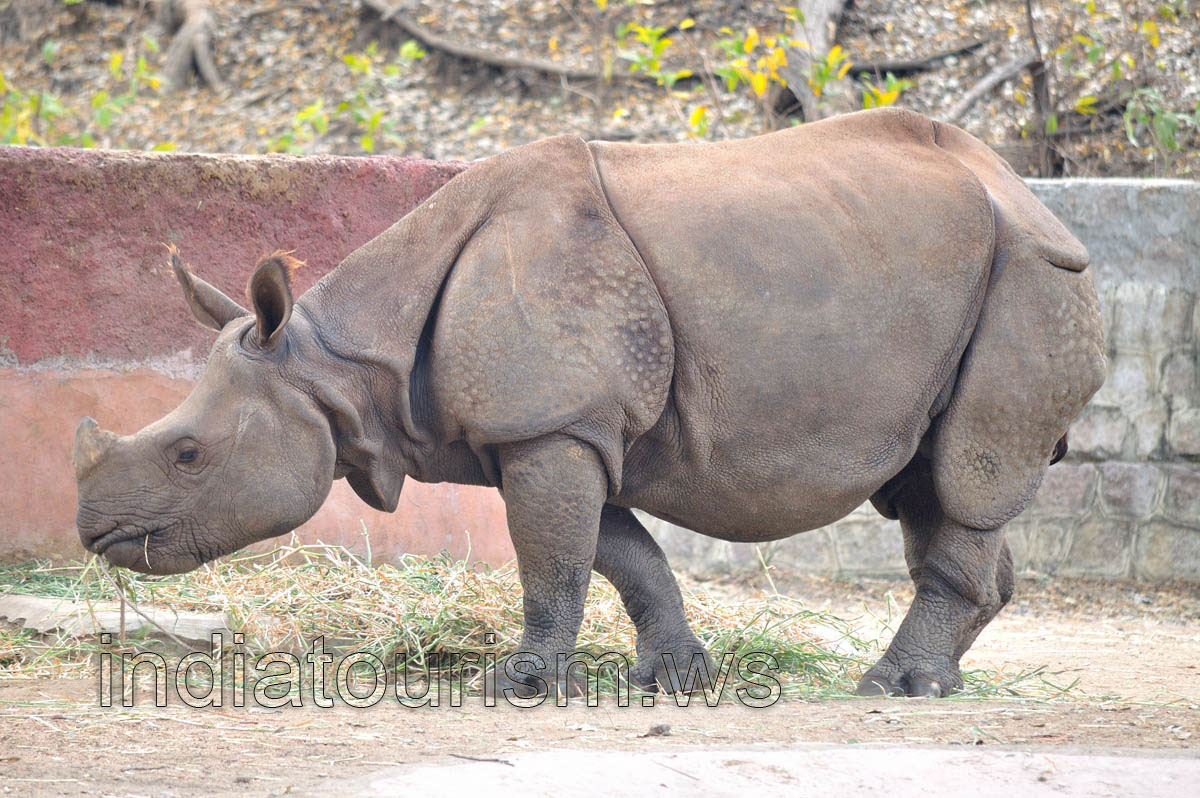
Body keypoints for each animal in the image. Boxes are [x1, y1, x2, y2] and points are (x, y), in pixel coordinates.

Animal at [74, 108, 1105, 698]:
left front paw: (519, 686)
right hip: (964, 275)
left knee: (971, 470)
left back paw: (896, 687)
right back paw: (936, 679)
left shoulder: (551, 424)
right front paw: (674, 678)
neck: (334, 364)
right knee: (932, 480)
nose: (93, 532)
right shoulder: (554, 431)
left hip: (1033, 276)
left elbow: (555, 563)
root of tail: (1028, 190)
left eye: (188, 454)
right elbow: (621, 555)